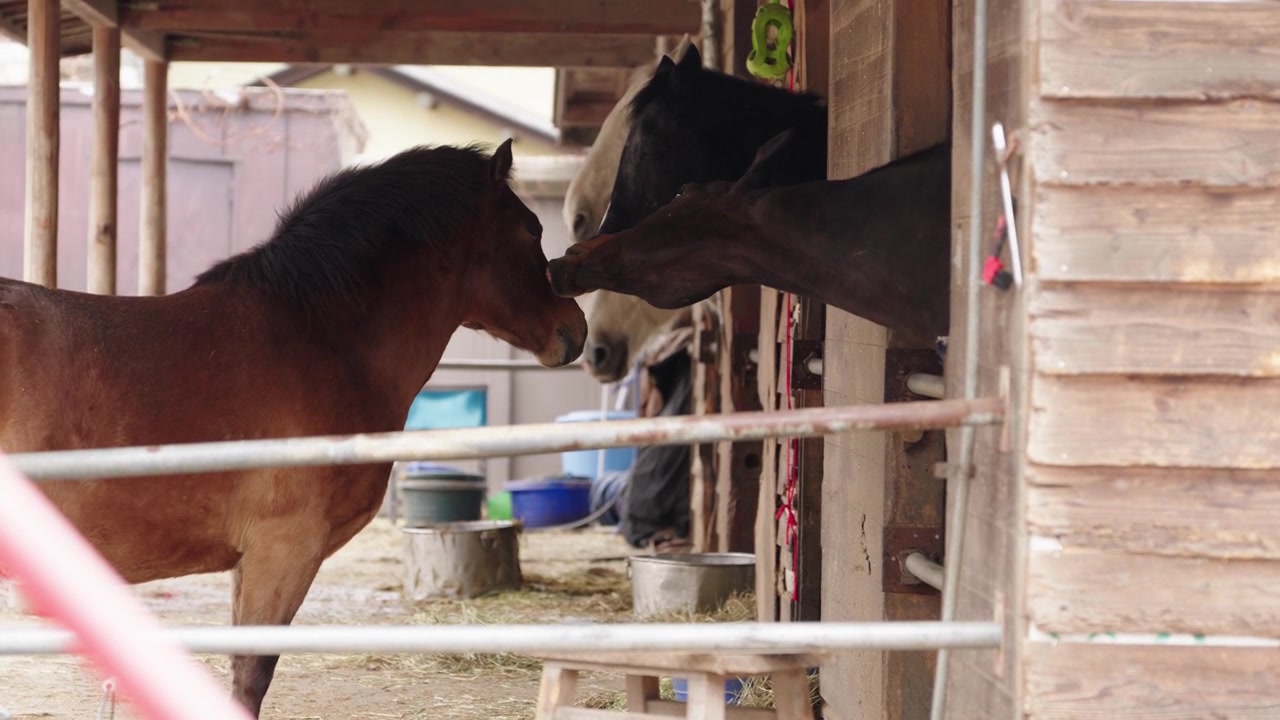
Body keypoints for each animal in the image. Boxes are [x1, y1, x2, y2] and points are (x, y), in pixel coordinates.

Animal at [0, 140, 586, 717]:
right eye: (532, 229)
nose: (575, 329)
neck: (318, 341)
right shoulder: (284, 549)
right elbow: (251, 676)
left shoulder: (252, 561)